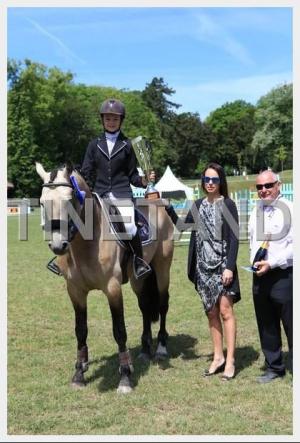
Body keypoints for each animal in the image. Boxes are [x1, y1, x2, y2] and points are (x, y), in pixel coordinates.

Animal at [36, 161, 175, 394]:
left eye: (69, 200)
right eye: (42, 202)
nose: (57, 246)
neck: (85, 242)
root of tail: (156, 202)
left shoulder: (112, 288)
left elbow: (119, 330)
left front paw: (125, 378)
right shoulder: (75, 291)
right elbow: (80, 330)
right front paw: (79, 374)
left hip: (163, 268)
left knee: (163, 304)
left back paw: (162, 348)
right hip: (138, 279)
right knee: (145, 307)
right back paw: (145, 349)